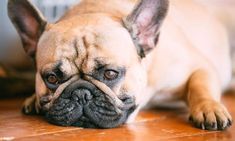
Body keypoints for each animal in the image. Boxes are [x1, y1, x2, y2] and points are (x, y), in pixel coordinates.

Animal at [7, 0, 233, 130]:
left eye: (110, 74)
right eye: (52, 78)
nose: (81, 93)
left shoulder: (200, 65)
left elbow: (199, 86)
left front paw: (209, 108)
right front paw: (34, 99)